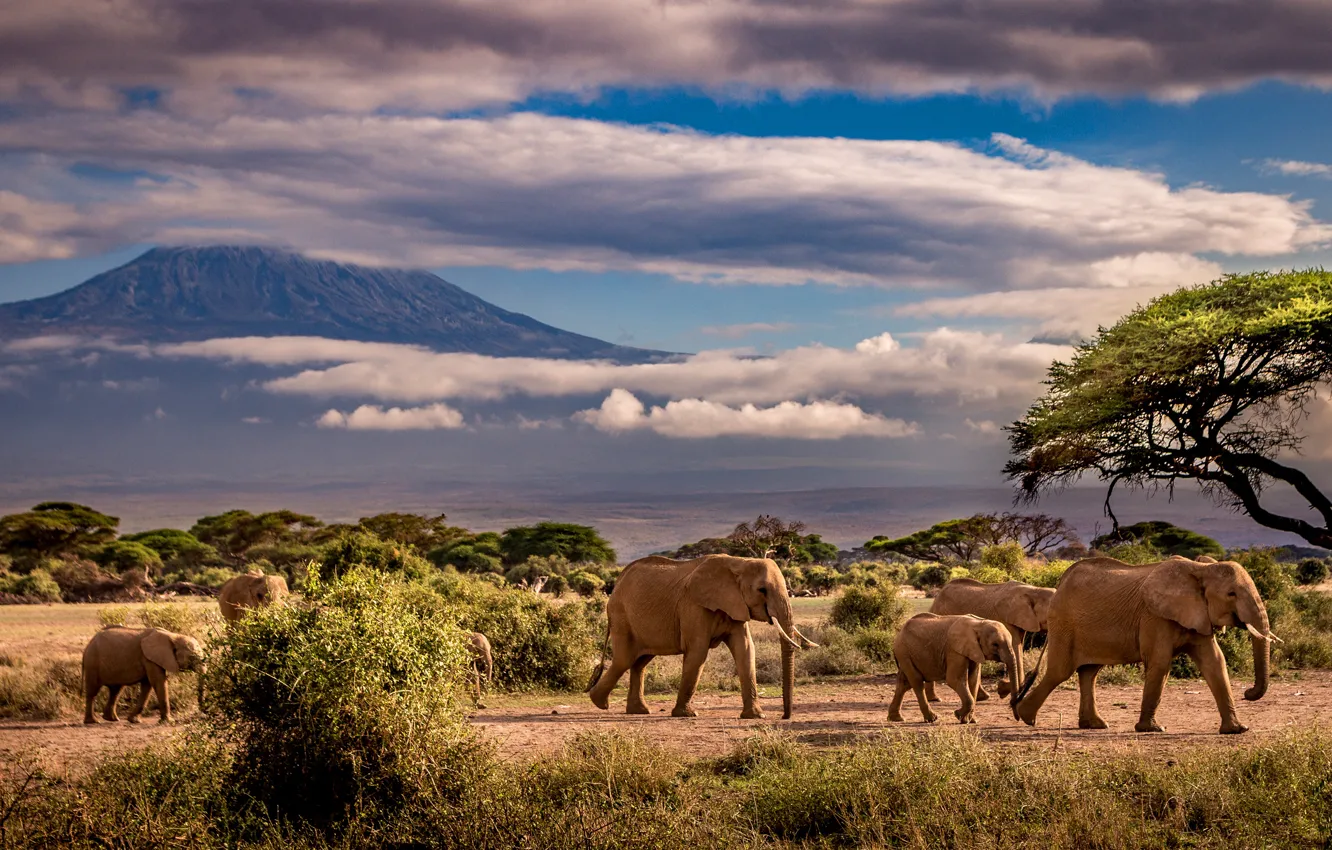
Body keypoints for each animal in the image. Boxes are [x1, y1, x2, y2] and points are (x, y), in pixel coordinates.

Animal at [587, 554, 817, 719]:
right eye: (762, 590)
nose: (785, 716)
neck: (739, 563)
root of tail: (617, 582)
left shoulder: (735, 605)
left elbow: (746, 650)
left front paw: (756, 716)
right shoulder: (694, 606)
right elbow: (698, 652)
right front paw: (687, 715)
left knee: (640, 662)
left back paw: (638, 711)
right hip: (621, 616)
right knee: (624, 659)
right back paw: (599, 703)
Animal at [889, 613, 1019, 724]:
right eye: (995, 644)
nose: (1017, 718)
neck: (979, 624)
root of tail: (899, 633)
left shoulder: (974, 650)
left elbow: (973, 680)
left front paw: (970, 720)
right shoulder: (954, 650)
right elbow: (954, 679)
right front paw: (958, 715)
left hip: (905, 654)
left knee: (904, 684)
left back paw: (896, 719)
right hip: (903, 652)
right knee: (916, 682)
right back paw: (932, 719)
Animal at [1015, 556, 1278, 734]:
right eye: (1231, 594)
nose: (1248, 693)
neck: (1200, 569)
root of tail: (1061, 583)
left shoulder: (1198, 615)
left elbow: (1215, 663)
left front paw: (1237, 729)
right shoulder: (1155, 617)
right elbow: (1160, 663)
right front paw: (1152, 729)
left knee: (1089, 672)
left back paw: (1094, 725)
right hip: (1064, 622)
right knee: (1060, 671)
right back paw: (1025, 717)